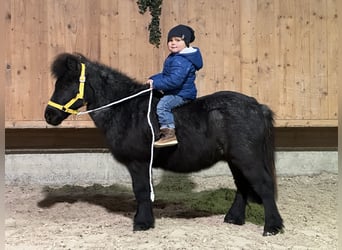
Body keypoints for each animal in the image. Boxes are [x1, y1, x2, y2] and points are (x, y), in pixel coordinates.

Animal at [44, 53, 284, 236]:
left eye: (68, 83)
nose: (49, 115)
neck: (126, 110)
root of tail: (258, 106)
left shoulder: (138, 162)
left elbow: (141, 190)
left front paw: (142, 223)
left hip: (247, 158)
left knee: (263, 185)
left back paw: (272, 227)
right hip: (235, 159)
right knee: (242, 186)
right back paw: (234, 218)